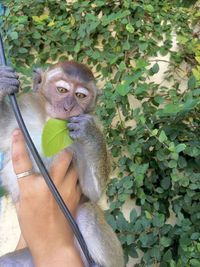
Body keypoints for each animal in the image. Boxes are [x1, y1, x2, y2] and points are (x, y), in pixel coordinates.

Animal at [0, 61, 124, 267]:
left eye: (80, 95)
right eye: (61, 90)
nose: (68, 107)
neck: (48, 124)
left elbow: (92, 191)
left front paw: (89, 132)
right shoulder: (23, 112)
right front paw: (2, 82)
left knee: (87, 212)